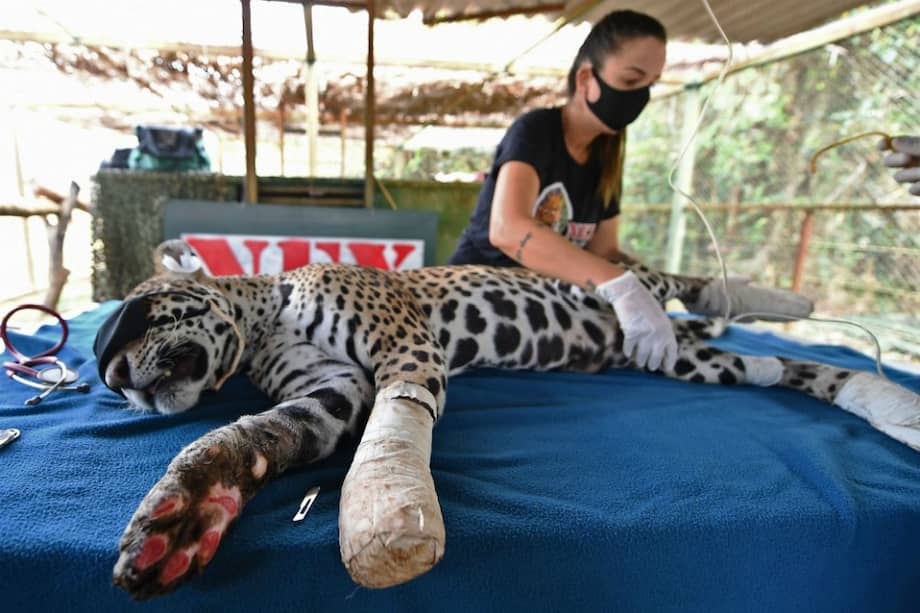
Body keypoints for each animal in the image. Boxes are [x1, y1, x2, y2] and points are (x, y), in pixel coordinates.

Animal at [99, 239, 920, 599]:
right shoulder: (327, 397)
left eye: (138, 314)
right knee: (782, 368)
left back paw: (778, 299)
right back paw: (884, 401)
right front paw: (187, 514)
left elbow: (396, 427)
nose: (115, 379)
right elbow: (241, 437)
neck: (268, 316)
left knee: (676, 280)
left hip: (630, 287)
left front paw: (387, 520)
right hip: (685, 364)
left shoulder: (405, 352)